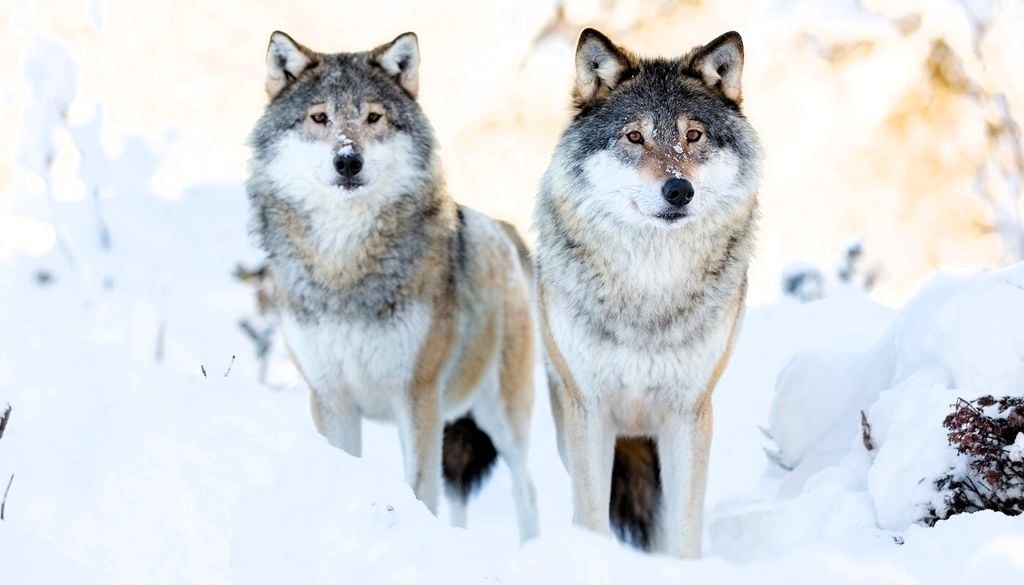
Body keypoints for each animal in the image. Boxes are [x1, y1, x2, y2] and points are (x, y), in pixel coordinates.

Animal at [246, 31, 538, 540]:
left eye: (373, 117)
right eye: (319, 117)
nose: (348, 160)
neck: (345, 268)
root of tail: (504, 230)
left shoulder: (415, 394)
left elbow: (420, 489)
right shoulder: (331, 398)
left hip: (501, 417)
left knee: (528, 491)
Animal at [533, 28, 762, 557]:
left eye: (693, 135)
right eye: (634, 136)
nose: (679, 191)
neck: (650, 287)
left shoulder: (689, 413)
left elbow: (684, 527)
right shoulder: (589, 409)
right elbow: (592, 517)